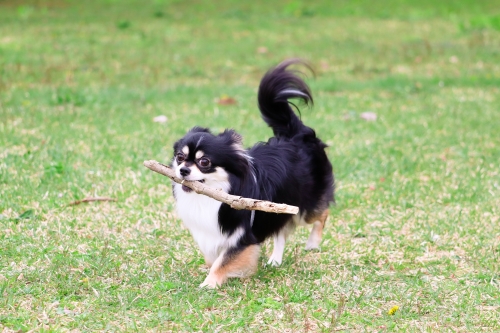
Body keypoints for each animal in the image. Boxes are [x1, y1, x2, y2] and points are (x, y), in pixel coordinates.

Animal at [170, 59, 334, 286]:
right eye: (180, 157)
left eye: (204, 162)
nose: (183, 170)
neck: (214, 195)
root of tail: (295, 134)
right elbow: (213, 257)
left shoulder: (242, 237)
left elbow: (222, 262)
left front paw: (209, 284)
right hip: (280, 207)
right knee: (281, 233)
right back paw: (275, 260)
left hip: (303, 208)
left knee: (322, 213)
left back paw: (312, 243)